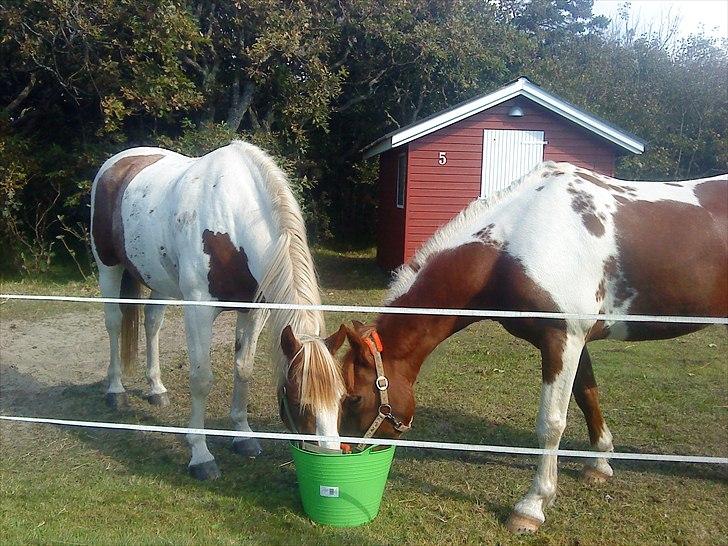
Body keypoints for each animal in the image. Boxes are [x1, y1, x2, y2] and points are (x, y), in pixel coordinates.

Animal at [91, 140, 346, 476]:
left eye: (341, 397)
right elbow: (201, 379)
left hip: (158, 280)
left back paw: (156, 389)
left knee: (152, 323)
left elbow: (244, 369)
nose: (331, 459)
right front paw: (201, 455)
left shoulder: (253, 309)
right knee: (113, 323)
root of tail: (116, 163)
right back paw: (115, 391)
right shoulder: (199, 309)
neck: (232, 221)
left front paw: (243, 437)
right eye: (299, 400)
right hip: (108, 266)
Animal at [336, 160, 728, 532]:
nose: (343, 452)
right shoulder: (573, 340)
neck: (517, 242)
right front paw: (600, 463)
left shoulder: (561, 337)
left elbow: (551, 423)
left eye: (354, 398)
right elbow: (588, 395)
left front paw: (532, 506)